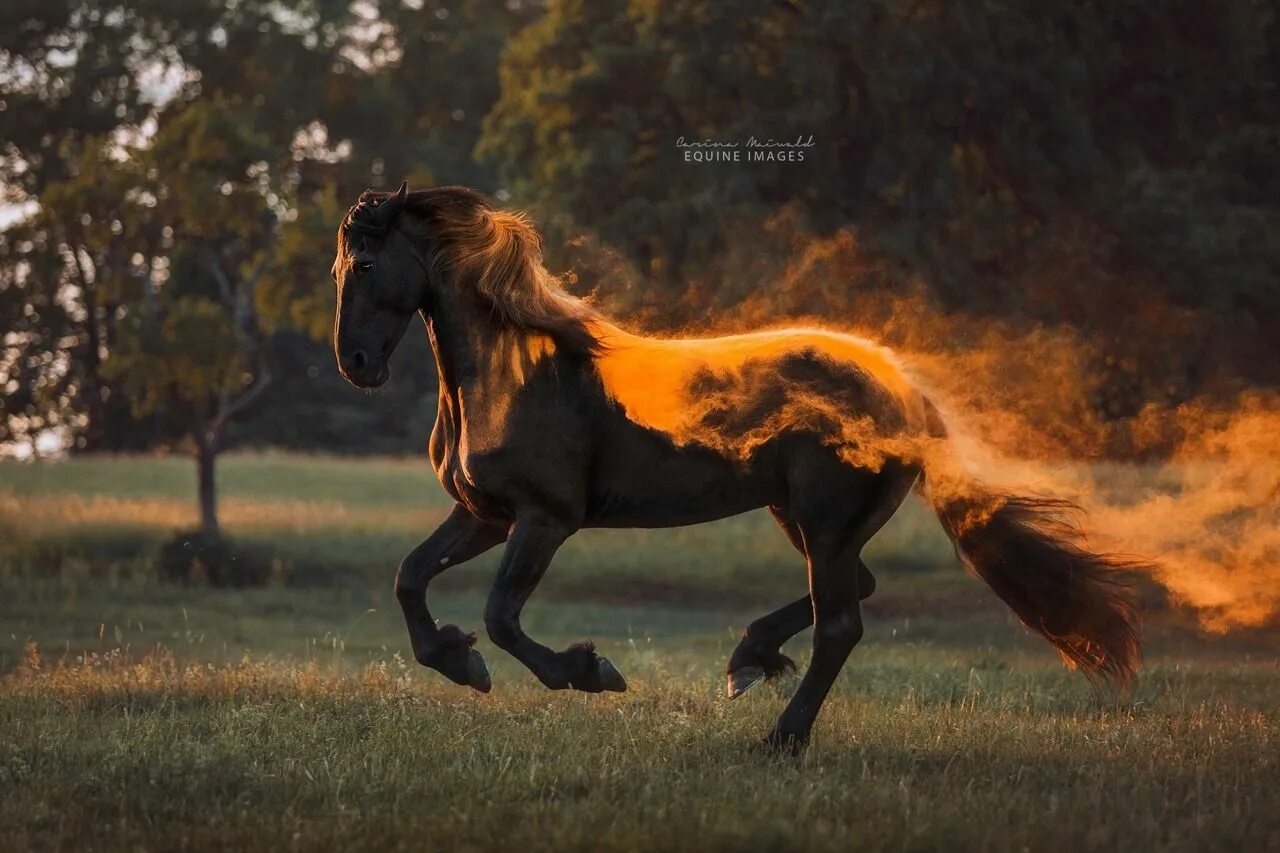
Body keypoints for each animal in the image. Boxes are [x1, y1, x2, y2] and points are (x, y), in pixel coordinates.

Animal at [335, 178, 1146, 742]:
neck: (515, 376)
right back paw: (748, 661)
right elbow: (410, 577)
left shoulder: (545, 518)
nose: (357, 365)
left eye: (367, 263)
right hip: (804, 516)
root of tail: (905, 392)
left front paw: (589, 671)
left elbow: (502, 617)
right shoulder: (485, 515)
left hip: (823, 519)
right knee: (854, 591)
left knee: (840, 625)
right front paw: (457, 660)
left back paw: (781, 737)